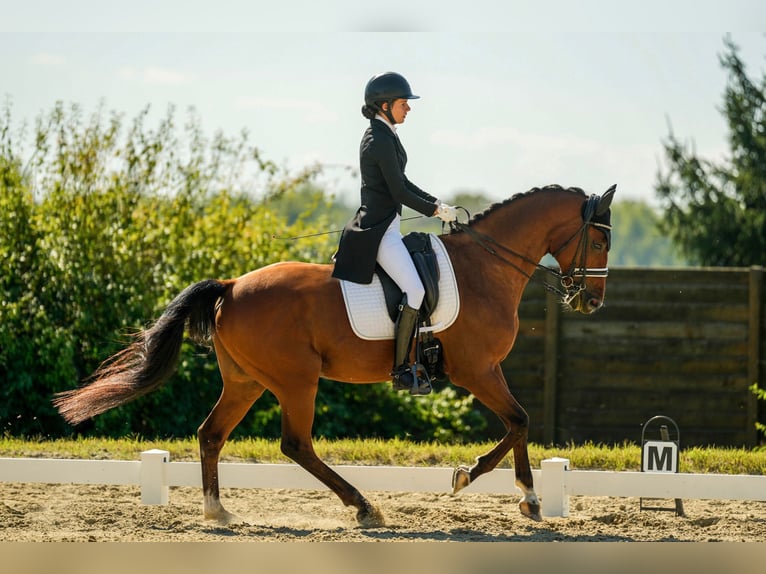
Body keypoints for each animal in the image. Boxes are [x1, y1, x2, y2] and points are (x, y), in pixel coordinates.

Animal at [52, 183, 616, 528]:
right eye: (601, 242)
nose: (591, 302)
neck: (485, 267)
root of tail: (231, 285)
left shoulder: (486, 370)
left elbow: (518, 424)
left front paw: (512, 493)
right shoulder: (476, 370)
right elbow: (519, 420)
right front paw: (488, 484)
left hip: (246, 381)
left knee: (211, 434)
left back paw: (219, 512)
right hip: (296, 380)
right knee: (296, 444)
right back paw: (364, 507)